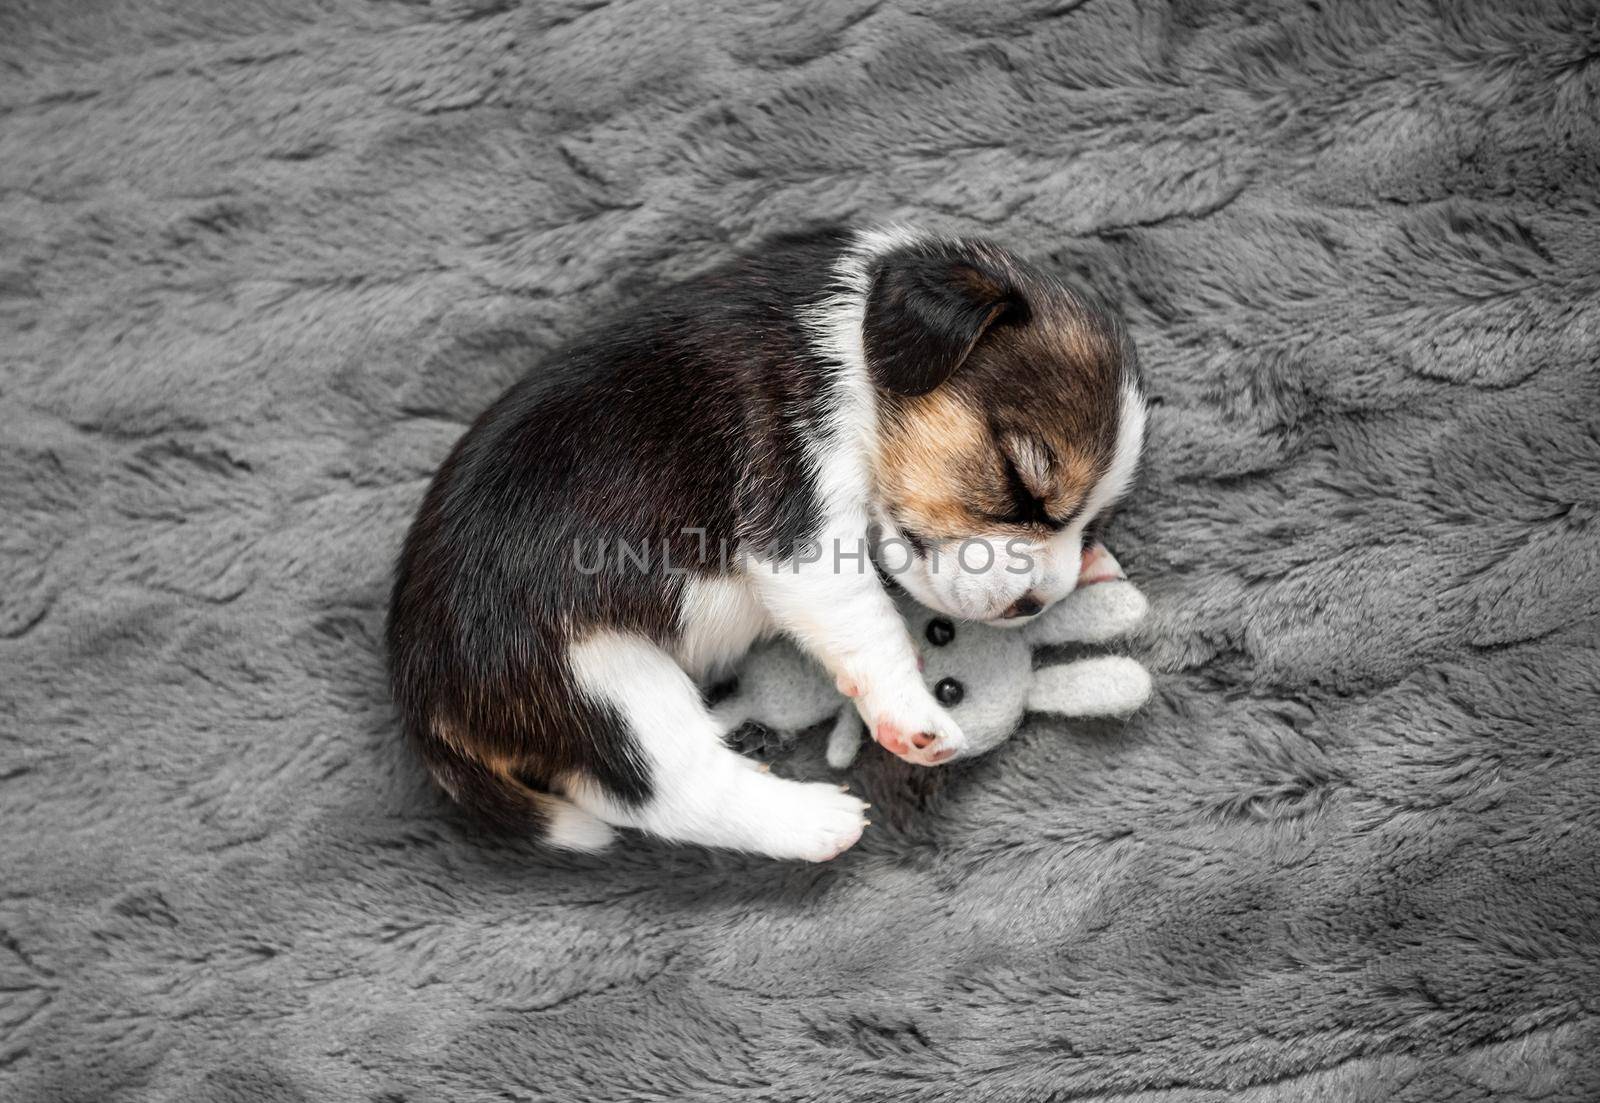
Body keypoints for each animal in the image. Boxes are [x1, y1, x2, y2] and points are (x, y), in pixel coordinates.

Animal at [384, 225, 1139, 858]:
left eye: (1092, 522)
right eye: (1021, 484)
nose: (1036, 604)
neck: (853, 345)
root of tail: (424, 701)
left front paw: (1093, 566)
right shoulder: (799, 521)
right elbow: (874, 625)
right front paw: (913, 715)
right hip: (603, 683)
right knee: (666, 792)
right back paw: (816, 821)